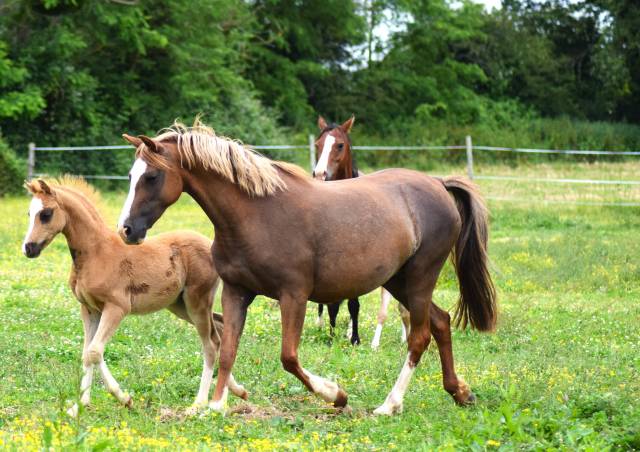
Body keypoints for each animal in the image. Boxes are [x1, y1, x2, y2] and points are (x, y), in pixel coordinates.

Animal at [22, 177, 247, 416]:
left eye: (46, 214)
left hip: (197, 301)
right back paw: (237, 391)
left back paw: (199, 404)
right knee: (220, 330)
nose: (28, 248)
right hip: (180, 305)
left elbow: (94, 351)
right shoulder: (89, 309)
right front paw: (79, 405)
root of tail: (209, 244)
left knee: (211, 345)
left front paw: (124, 398)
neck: (95, 253)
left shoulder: (117, 307)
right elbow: (86, 352)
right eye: (29, 213)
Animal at [313, 115, 411, 349]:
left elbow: (353, 304)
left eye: (340, 145)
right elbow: (332, 303)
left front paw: (354, 338)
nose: (319, 174)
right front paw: (331, 335)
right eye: (317, 145)